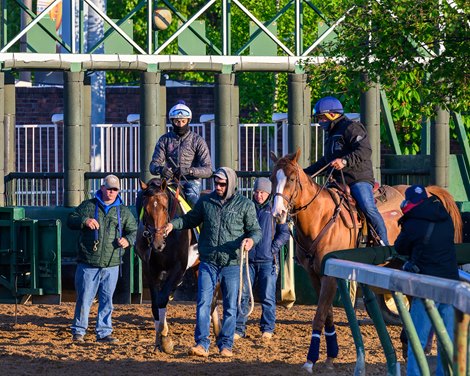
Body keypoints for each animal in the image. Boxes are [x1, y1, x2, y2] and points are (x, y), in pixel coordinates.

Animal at [133, 178, 219, 352]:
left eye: (165, 207)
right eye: (146, 210)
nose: (157, 243)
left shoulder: (178, 268)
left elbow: (163, 298)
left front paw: (165, 340)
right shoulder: (150, 270)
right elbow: (156, 302)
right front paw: (160, 337)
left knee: (213, 294)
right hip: (197, 266)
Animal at [270, 148, 464, 368]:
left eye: (292, 179)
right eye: (272, 178)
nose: (278, 213)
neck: (321, 217)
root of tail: (429, 192)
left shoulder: (330, 276)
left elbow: (319, 315)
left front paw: (311, 360)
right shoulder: (314, 275)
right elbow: (327, 314)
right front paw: (330, 355)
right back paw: (408, 345)